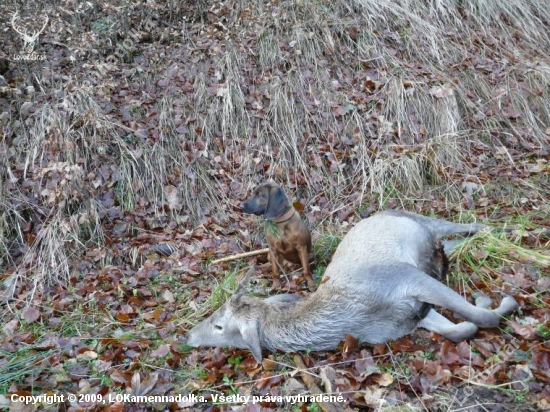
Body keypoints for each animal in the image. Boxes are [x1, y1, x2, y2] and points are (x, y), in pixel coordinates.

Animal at [188, 211, 520, 362]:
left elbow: (482, 319)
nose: (187, 335)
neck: (359, 318)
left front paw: (500, 301)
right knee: (456, 244)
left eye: (219, 325)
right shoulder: (415, 315)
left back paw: (503, 229)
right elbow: (463, 329)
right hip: (436, 245)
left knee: (466, 225)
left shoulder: (405, 275)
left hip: (420, 221)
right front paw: (484, 302)